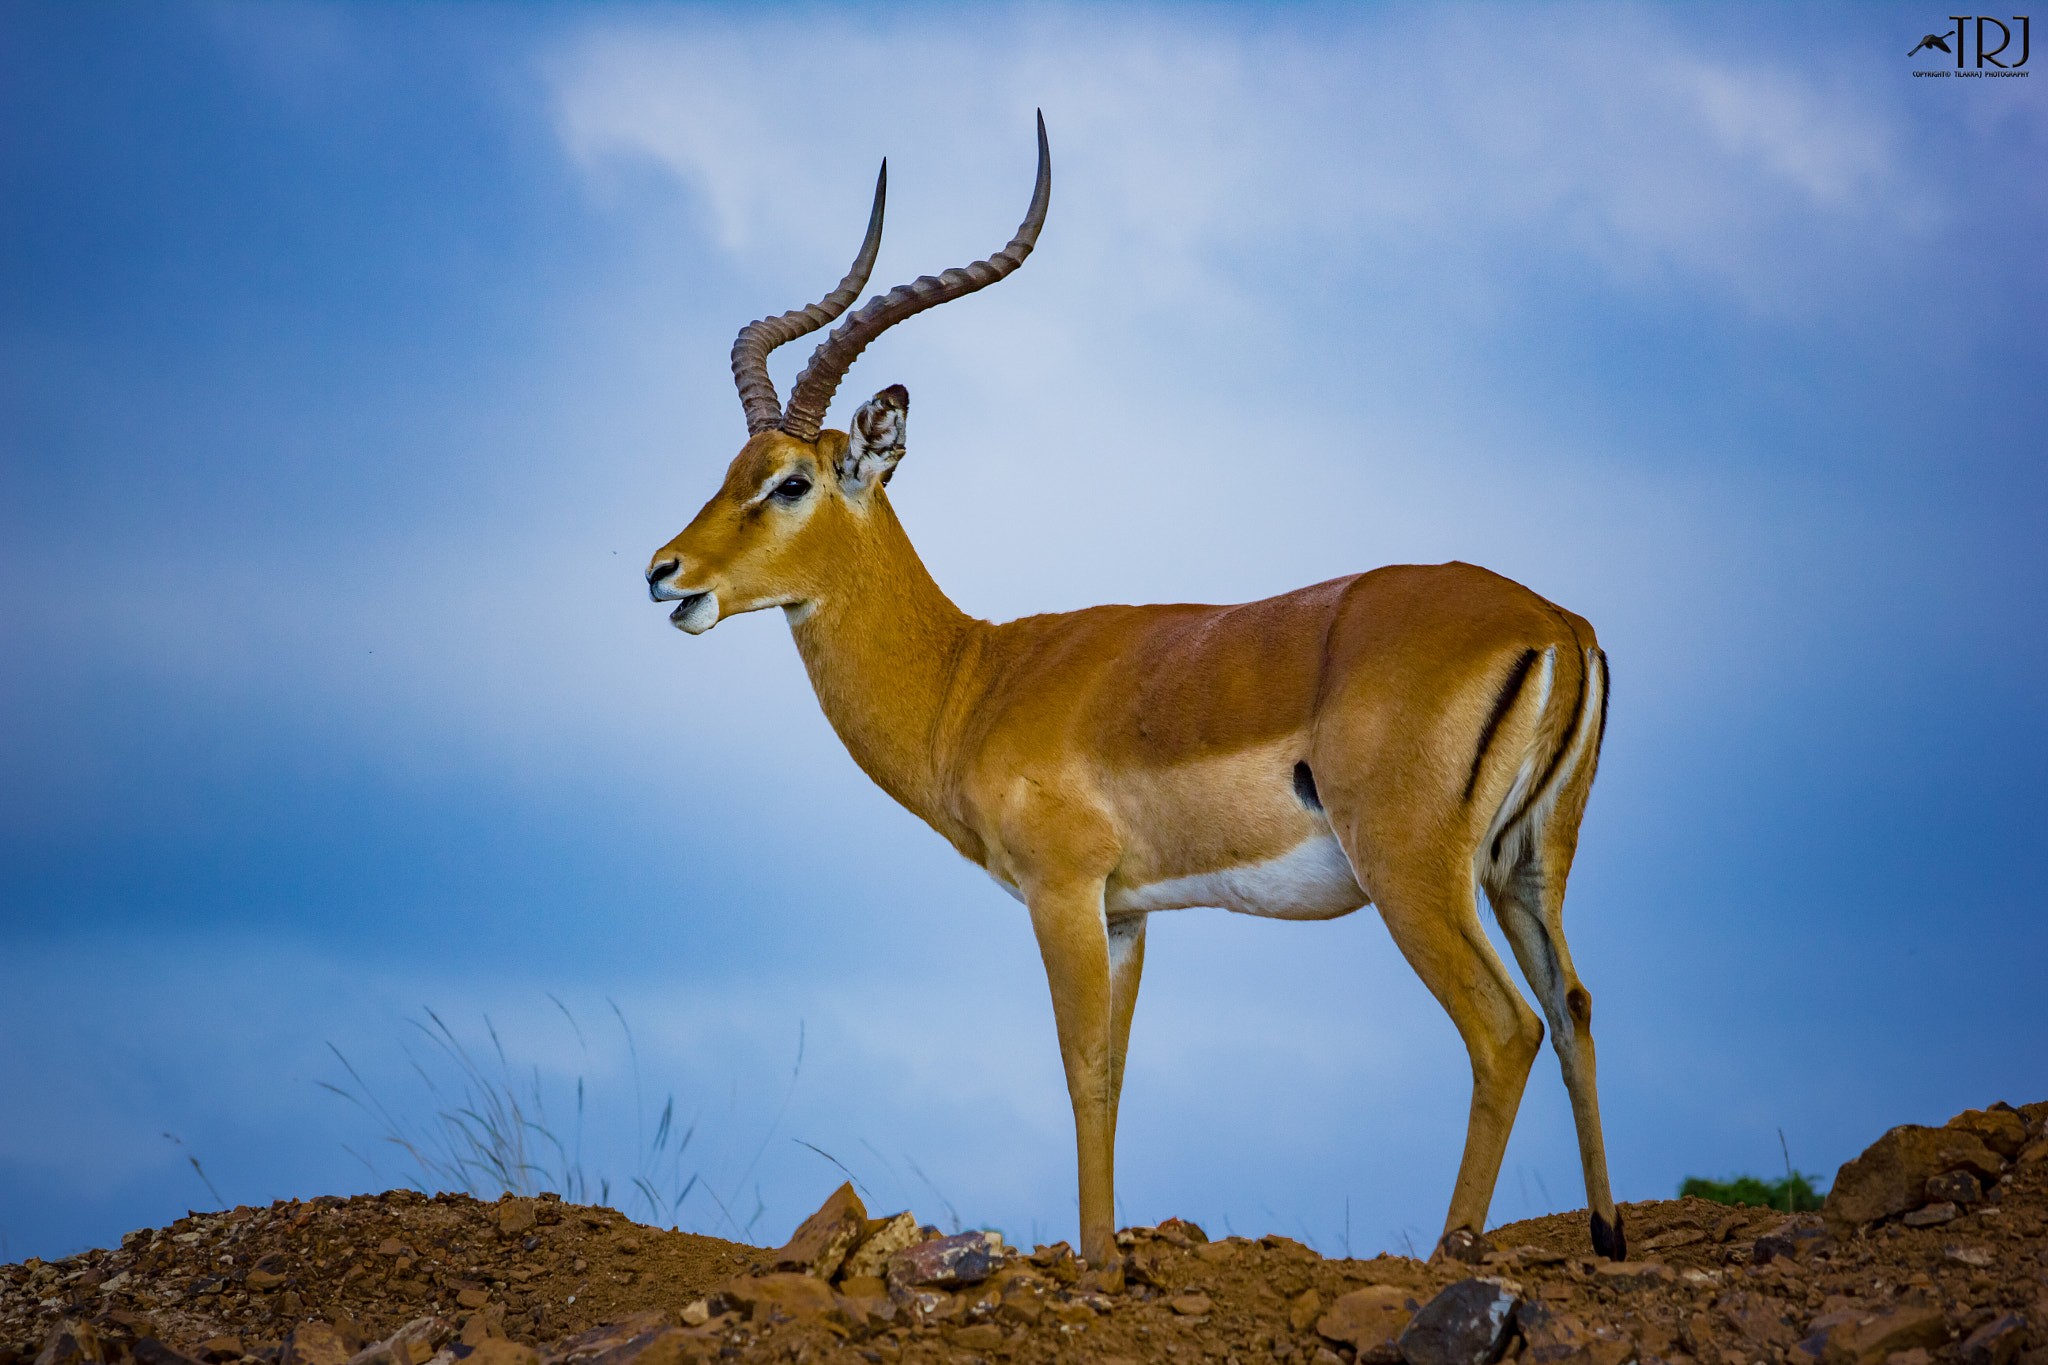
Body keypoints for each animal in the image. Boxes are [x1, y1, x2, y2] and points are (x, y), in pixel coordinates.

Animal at [646, 115, 1625, 1267]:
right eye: (730, 469)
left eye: (790, 482)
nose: (664, 572)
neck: (973, 680)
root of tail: (1555, 623)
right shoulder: (1129, 915)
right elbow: (1112, 1078)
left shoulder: (1062, 893)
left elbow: (1077, 1072)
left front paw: (1096, 1267)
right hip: (1526, 867)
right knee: (1572, 1006)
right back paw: (1607, 1237)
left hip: (1412, 871)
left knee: (1503, 1028)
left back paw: (1449, 1257)